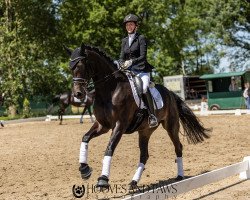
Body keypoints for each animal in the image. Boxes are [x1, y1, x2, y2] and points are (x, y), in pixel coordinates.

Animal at [65, 43, 210, 189]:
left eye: (81, 65)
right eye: (70, 68)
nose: (78, 94)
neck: (110, 90)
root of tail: (170, 93)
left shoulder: (119, 125)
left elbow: (109, 148)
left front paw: (103, 180)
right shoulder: (103, 125)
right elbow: (85, 138)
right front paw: (84, 169)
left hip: (171, 126)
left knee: (178, 147)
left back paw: (179, 176)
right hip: (145, 131)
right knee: (144, 155)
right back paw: (134, 182)